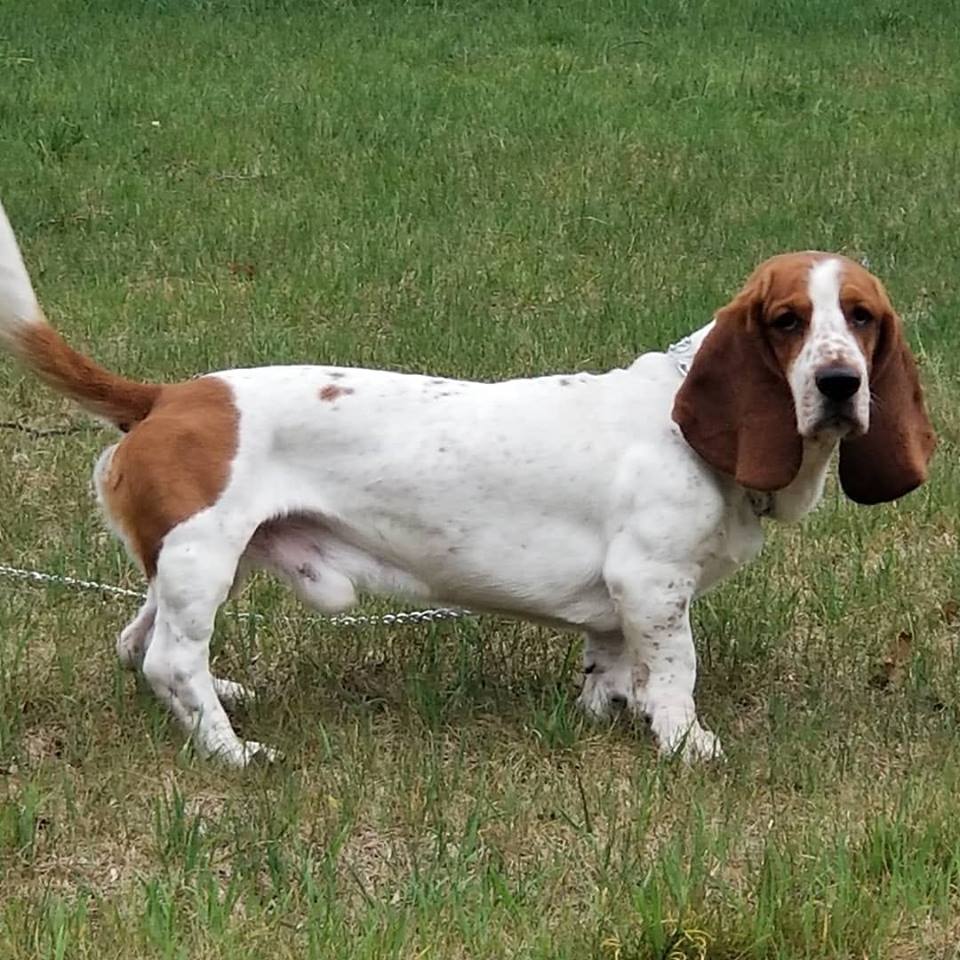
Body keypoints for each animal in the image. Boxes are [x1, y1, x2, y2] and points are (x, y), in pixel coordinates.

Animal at [0, 202, 932, 764]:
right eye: (787, 321)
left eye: (862, 317)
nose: (841, 384)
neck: (685, 422)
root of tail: (167, 395)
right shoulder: (654, 584)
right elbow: (675, 671)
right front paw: (685, 742)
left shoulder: (619, 606)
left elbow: (611, 667)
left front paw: (609, 714)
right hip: (203, 561)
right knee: (169, 661)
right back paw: (233, 751)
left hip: (181, 564)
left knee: (137, 644)